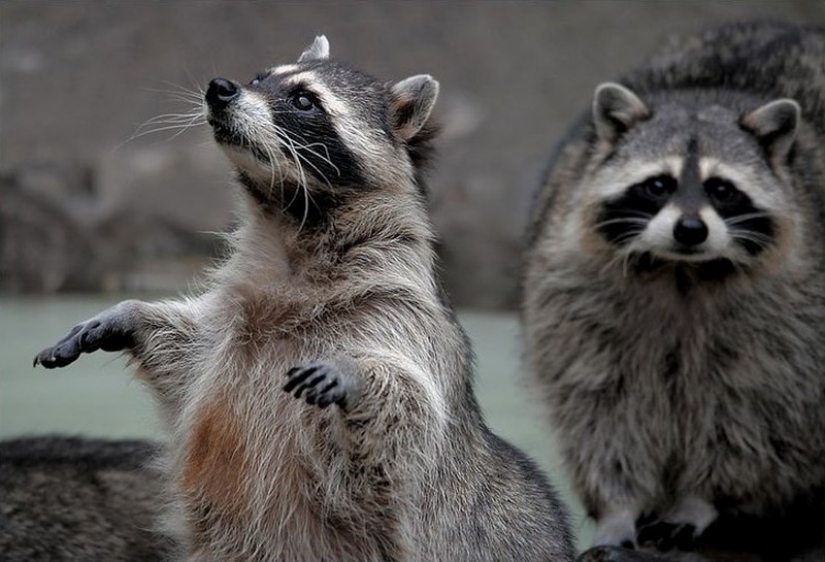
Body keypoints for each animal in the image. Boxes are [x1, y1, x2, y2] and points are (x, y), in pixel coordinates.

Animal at [34, 37, 574, 562]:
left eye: (303, 100)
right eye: (260, 77)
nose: (220, 87)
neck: (289, 229)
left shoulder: (403, 315)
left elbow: (410, 418)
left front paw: (358, 376)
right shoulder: (231, 324)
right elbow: (185, 354)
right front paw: (132, 314)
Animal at [522, 21, 825, 559]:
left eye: (722, 189)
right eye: (658, 185)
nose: (690, 229)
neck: (681, 271)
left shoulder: (792, 313)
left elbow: (752, 408)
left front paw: (700, 499)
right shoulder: (572, 289)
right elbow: (599, 404)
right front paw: (617, 508)